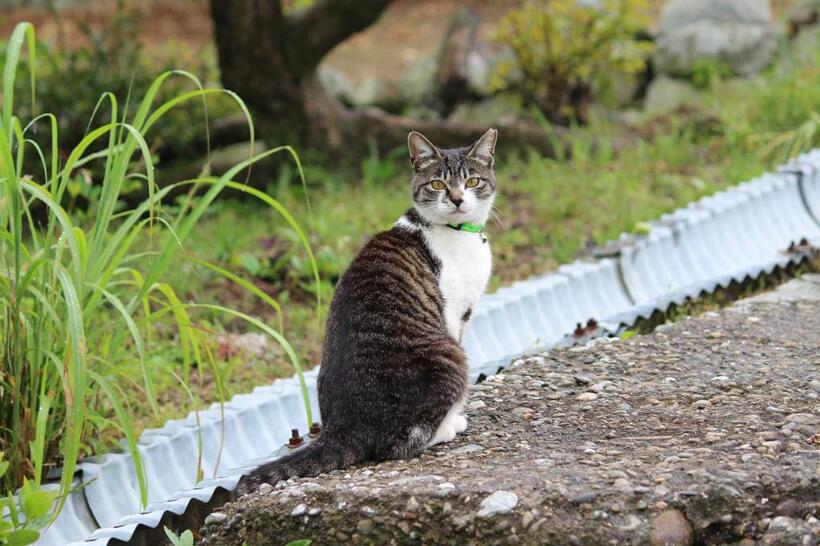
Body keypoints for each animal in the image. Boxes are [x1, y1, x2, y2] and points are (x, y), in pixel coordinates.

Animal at [234, 127, 496, 492]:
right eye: (437, 184)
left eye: (472, 181)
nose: (457, 199)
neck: (456, 233)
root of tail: (343, 429)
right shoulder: (455, 316)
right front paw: (455, 416)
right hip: (450, 357)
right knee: (399, 445)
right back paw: (446, 429)